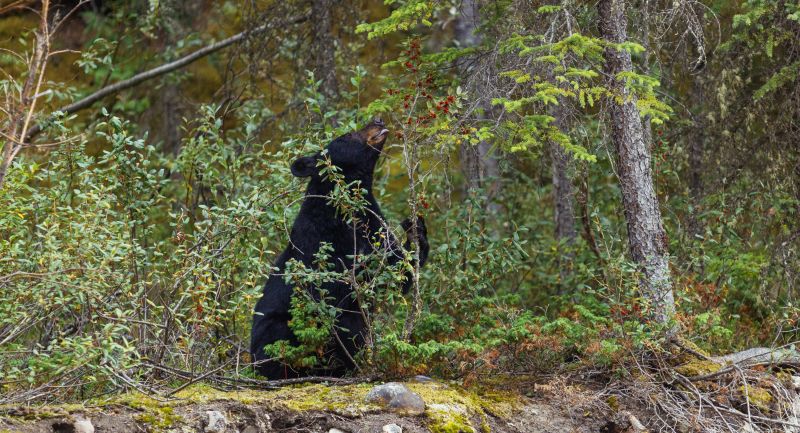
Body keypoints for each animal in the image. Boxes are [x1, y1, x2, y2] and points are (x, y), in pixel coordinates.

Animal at [250, 117, 429, 379]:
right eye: (347, 135)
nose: (378, 120)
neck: (345, 213)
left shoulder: (373, 225)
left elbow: (394, 270)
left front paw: (415, 229)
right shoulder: (320, 244)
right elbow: (335, 287)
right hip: (275, 333)